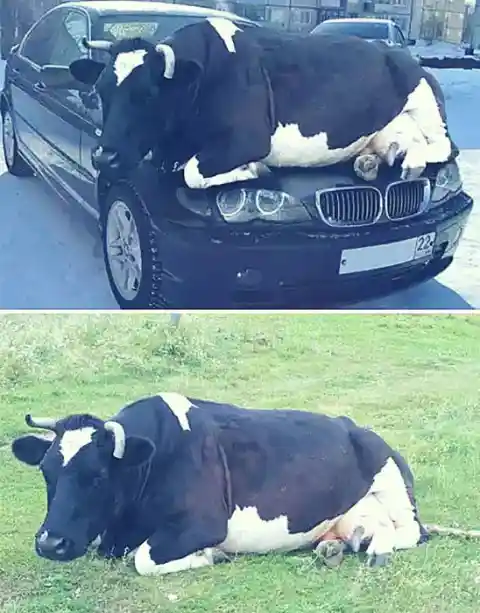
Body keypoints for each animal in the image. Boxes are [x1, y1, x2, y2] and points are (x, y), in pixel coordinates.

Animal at [10, 394, 476, 572]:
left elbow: (143, 558)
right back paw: (337, 546)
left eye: (99, 476)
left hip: (392, 480)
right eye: (47, 472)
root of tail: (354, 426)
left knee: (412, 532)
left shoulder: (204, 522)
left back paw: (377, 550)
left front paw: (209, 556)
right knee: (365, 527)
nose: (50, 543)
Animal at [48, 18, 458, 186]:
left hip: (426, 101)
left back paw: (411, 163)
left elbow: (193, 172)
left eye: (147, 95)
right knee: (399, 144)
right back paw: (372, 161)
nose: (104, 158)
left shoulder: (249, 138)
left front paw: (254, 171)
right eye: (101, 92)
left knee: (444, 146)